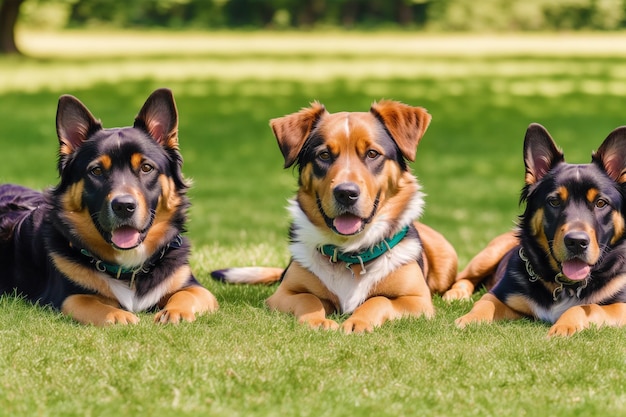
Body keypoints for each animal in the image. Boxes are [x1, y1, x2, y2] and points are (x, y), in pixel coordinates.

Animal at [0, 88, 217, 324]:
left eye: (146, 167)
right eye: (96, 171)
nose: (124, 206)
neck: (129, 268)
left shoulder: (194, 286)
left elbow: (190, 294)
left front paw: (175, 312)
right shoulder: (68, 297)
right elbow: (91, 303)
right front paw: (118, 316)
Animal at [212, 100, 456, 332]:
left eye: (372, 153)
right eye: (324, 154)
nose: (346, 193)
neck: (351, 253)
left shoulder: (417, 301)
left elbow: (379, 300)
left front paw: (358, 322)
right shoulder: (283, 294)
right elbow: (309, 299)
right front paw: (317, 320)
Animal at [442, 122, 624, 334]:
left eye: (600, 203)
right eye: (554, 201)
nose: (576, 242)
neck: (564, 285)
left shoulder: (620, 305)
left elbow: (587, 307)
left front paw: (563, 326)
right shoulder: (501, 294)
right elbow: (485, 303)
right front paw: (468, 319)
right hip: (487, 256)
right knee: (463, 277)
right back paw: (456, 294)